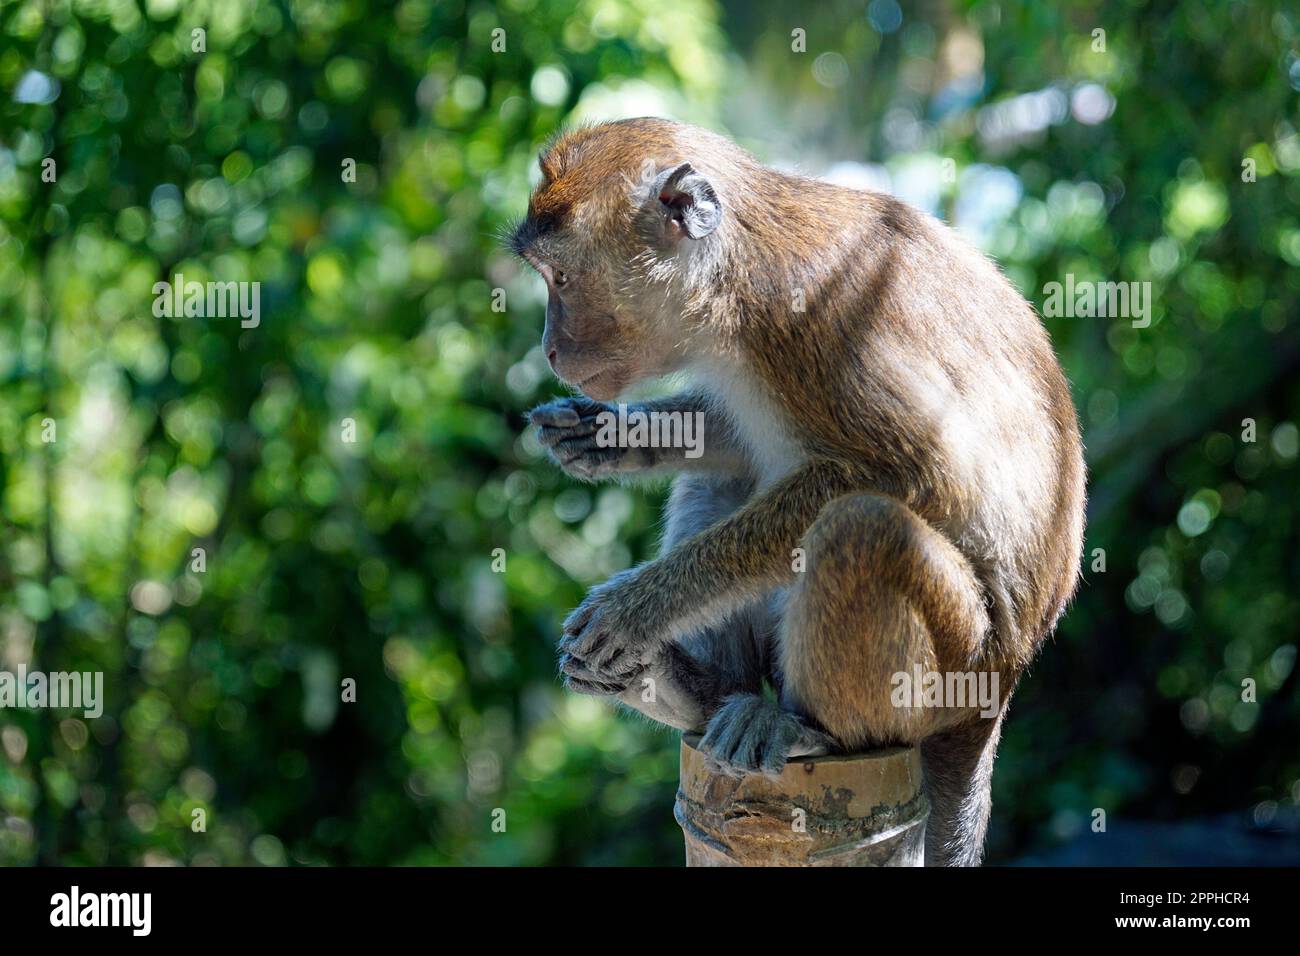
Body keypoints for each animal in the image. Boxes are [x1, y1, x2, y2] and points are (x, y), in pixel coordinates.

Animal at [510, 118, 1085, 866]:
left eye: (561, 277)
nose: (549, 348)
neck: (731, 274)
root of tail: (1007, 683)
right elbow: (741, 440)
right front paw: (611, 437)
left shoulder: (819, 316)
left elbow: (916, 470)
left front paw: (638, 606)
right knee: (728, 477)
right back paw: (691, 690)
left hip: (957, 671)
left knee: (861, 530)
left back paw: (817, 730)